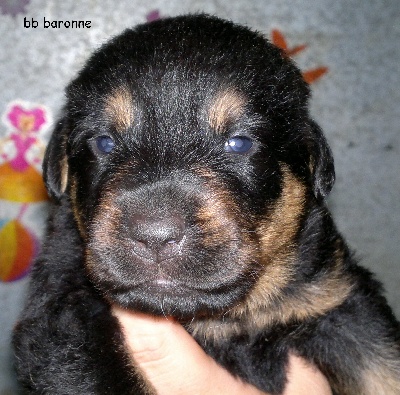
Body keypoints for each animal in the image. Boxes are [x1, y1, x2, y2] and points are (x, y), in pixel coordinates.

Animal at [13, 13, 400, 394]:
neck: (220, 319)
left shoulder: (336, 300)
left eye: (239, 143)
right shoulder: (65, 311)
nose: (155, 236)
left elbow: (381, 368)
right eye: (104, 143)